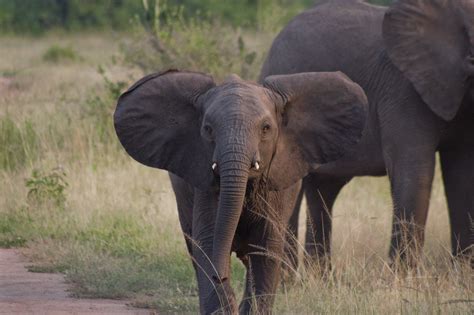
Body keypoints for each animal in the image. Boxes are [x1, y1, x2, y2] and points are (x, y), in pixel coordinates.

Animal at [114, 69, 366, 314]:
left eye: (266, 128)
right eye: (208, 129)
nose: (221, 276)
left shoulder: (274, 190)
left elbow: (266, 248)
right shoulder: (205, 185)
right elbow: (208, 244)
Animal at [262, 0, 472, 270]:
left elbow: (462, 176)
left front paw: (462, 271)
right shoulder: (402, 89)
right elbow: (414, 171)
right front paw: (401, 276)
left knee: (324, 189)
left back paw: (317, 276)